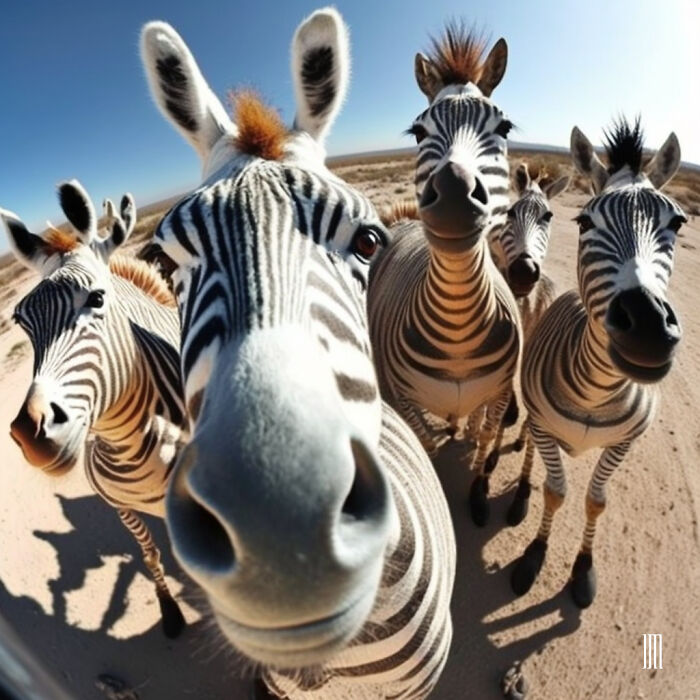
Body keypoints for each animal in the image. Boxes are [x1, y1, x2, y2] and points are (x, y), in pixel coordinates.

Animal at [2, 181, 188, 638]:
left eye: (97, 298)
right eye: (21, 321)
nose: (30, 434)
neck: (130, 444)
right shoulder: (120, 508)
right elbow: (150, 555)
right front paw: (169, 610)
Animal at [367, 23, 522, 527]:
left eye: (504, 127)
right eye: (418, 131)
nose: (454, 192)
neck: (459, 330)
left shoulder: (500, 393)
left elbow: (485, 442)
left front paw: (478, 495)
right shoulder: (401, 400)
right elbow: (428, 449)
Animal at [510, 118, 686, 608]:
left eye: (678, 222)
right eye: (585, 221)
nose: (647, 327)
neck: (596, 391)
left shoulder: (626, 442)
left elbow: (596, 501)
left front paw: (583, 568)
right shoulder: (545, 427)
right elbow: (555, 493)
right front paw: (534, 553)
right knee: (529, 448)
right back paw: (519, 494)